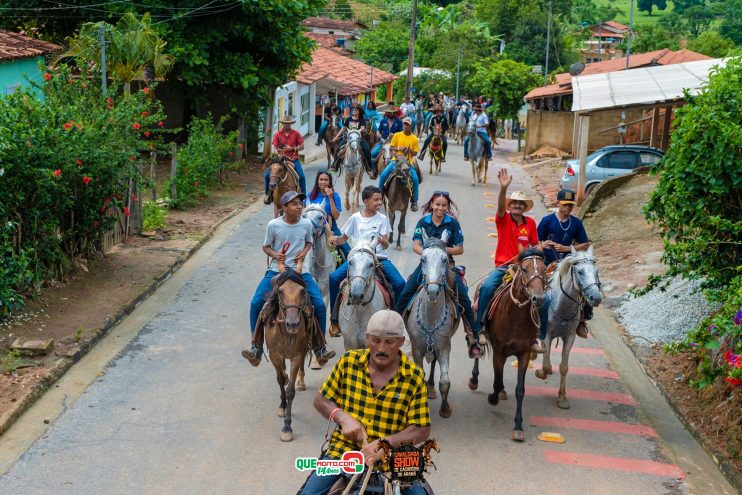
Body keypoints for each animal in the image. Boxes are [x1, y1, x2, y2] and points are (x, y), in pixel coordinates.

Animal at [262, 266, 314, 444]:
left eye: (302, 291)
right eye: (281, 291)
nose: (292, 324)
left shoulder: (297, 357)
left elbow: (290, 390)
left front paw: (287, 427)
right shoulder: (275, 356)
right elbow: (280, 379)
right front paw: (283, 406)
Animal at [406, 232, 460, 418]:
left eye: (444, 259)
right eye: (423, 259)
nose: (432, 291)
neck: (430, 318)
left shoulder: (444, 347)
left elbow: (445, 381)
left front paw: (445, 408)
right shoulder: (416, 348)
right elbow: (418, 376)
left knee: (435, 361)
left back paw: (431, 386)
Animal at [470, 252, 552, 442]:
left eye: (544, 270)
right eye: (525, 269)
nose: (539, 299)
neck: (516, 316)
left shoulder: (525, 354)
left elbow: (520, 390)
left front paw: (518, 426)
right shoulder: (499, 352)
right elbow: (497, 380)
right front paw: (493, 398)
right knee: (478, 355)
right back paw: (475, 380)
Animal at [536, 250, 608, 408]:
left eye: (597, 271)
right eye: (580, 271)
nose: (596, 297)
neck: (560, 306)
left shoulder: (570, 337)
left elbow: (564, 367)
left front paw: (562, 397)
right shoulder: (546, 335)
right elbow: (546, 365)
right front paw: (540, 373)